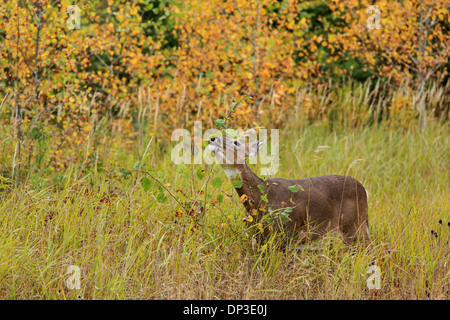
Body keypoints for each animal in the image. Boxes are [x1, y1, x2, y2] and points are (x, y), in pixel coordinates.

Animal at [207, 136, 370, 246]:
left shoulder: (286, 231)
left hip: (355, 225)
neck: (262, 198)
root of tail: (364, 190)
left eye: (236, 142)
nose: (212, 138)